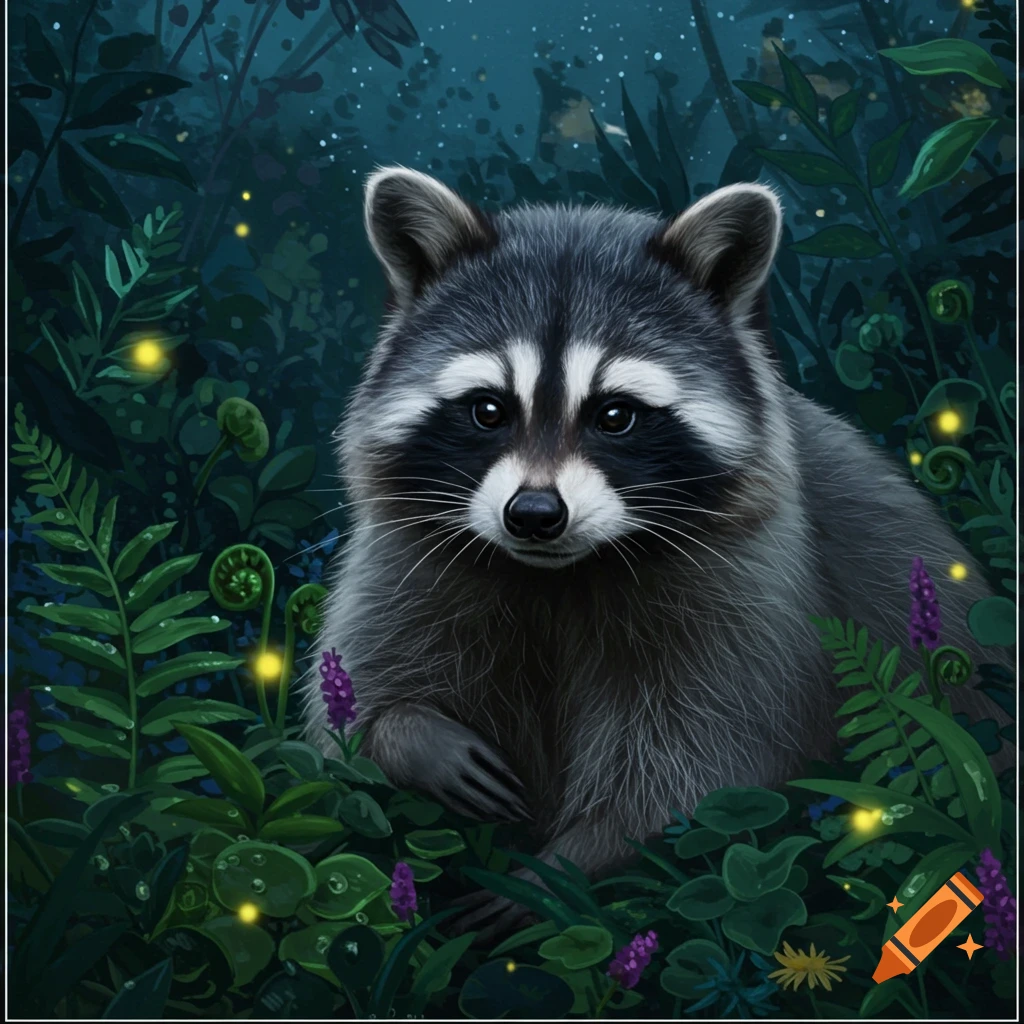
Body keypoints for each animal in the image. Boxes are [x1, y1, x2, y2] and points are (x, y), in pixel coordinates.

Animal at [302, 166, 1010, 934]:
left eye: (615, 414)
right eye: (488, 409)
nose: (533, 515)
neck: (560, 574)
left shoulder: (752, 589)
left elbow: (708, 762)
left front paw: (562, 867)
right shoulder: (410, 559)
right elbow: (351, 711)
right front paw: (412, 737)